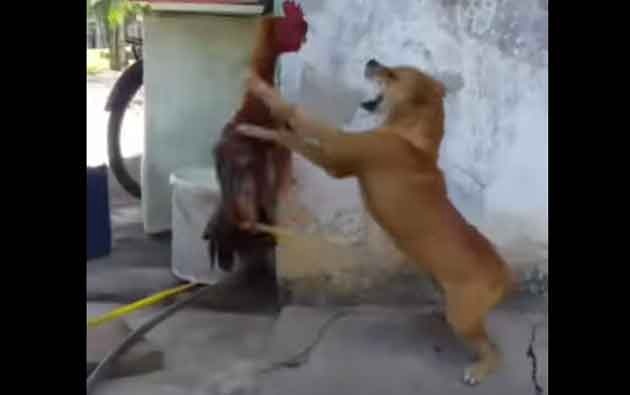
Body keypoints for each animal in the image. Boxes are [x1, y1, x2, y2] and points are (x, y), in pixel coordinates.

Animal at [237, 60, 512, 386]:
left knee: (492, 349)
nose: (371, 61)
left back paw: (480, 369)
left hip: (464, 316)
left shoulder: (336, 153)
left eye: (393, 75)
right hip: (447, 294)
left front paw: (259, 87)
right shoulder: (334, 157)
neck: (412, 134)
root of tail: (504, 272)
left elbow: (300, 116)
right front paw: (255, 128)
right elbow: (289, 134)